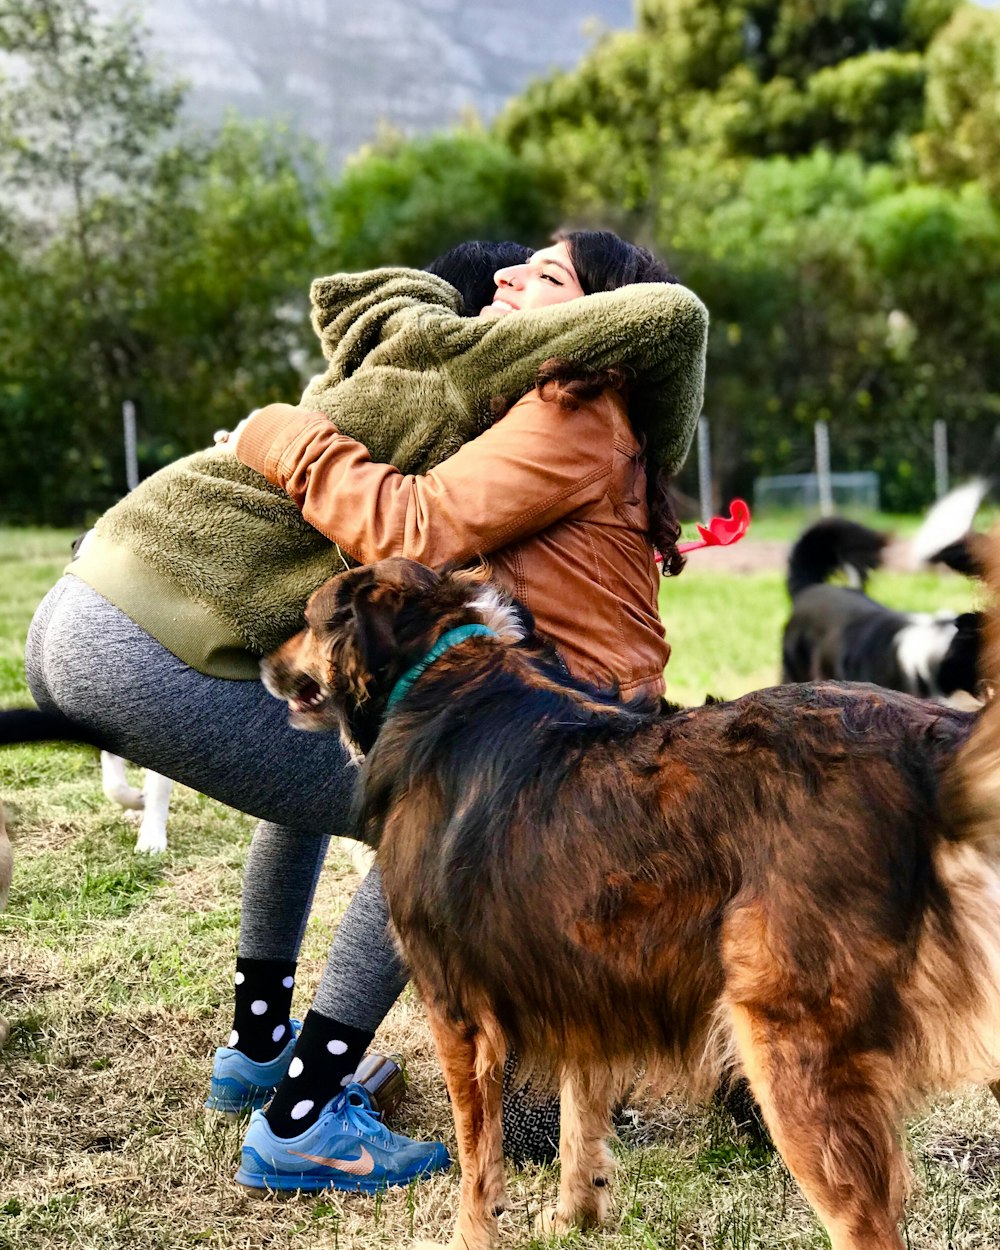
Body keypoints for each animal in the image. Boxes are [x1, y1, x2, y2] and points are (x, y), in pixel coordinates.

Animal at [260, 560, 1000, 1250]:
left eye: (308, 618)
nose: (261, 664)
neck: (435, 672)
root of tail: (937, 747)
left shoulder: (459, 1014)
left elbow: (478, 1162)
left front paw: (474, 1235)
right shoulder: (581, 976)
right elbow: (579, 1124)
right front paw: (575, 1218)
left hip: (788, 1049)